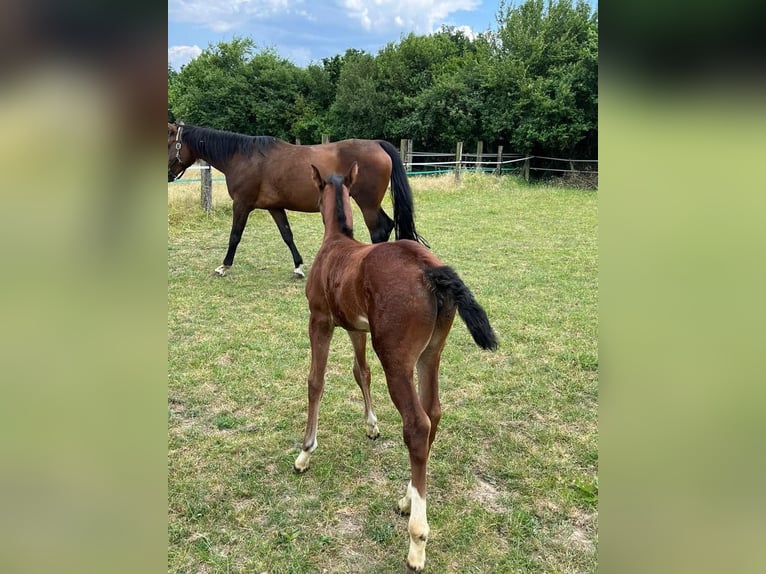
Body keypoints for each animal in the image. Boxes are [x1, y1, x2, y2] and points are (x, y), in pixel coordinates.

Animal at [166, 122, 426, 280]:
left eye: (169, 143)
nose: (168, 175)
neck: (243, 157)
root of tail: (377, 144)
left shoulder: (242, 204)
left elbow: (235, 235)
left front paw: (224, 266)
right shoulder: (274, 207)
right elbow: (287, 235)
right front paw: (298, 267)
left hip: (367, 203)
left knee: (379, 229)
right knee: (387, 225)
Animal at [294, 163, 498, 574]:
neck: (336, 243)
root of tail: (430, 270)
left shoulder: (320, 321)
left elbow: (316, 382)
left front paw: (305, 453)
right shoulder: (356, 328)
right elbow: (360, 372)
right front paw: (371, 426)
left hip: (396, 358)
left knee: (417, 424)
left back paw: (417, 541)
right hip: (429, 354)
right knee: (433, 412)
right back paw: (407, 499)